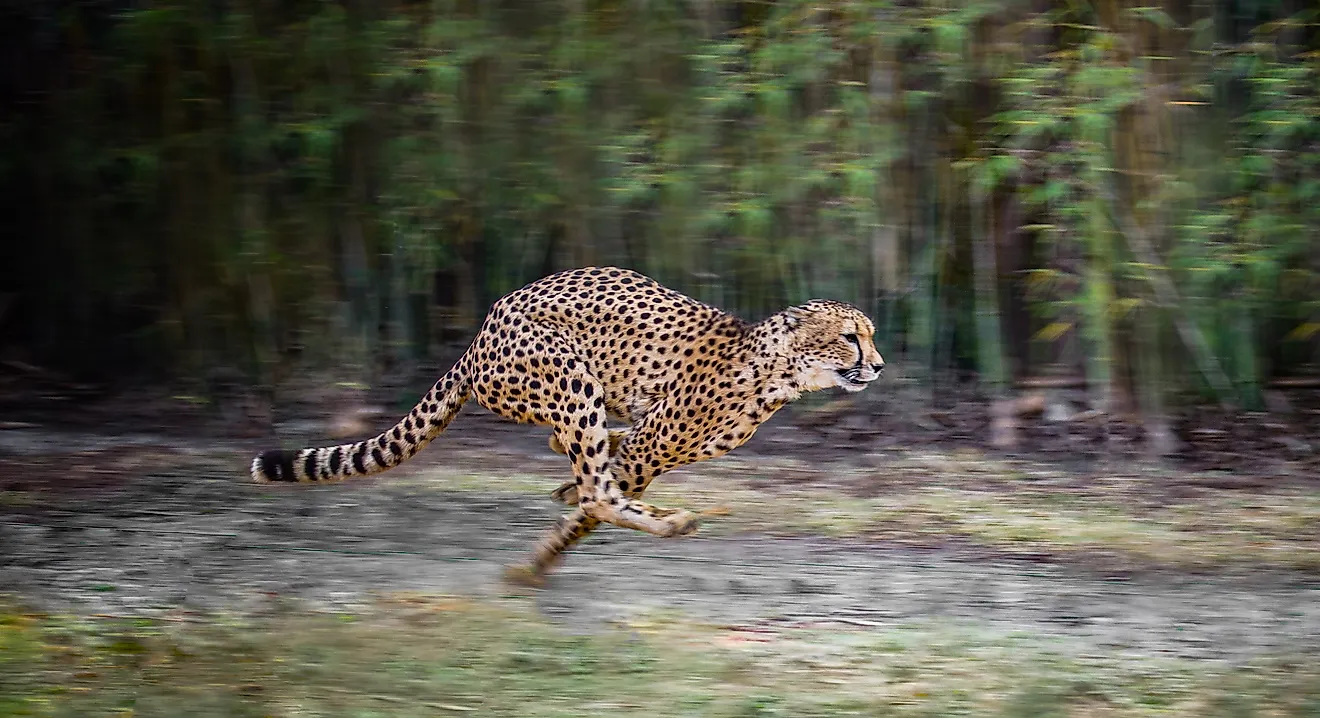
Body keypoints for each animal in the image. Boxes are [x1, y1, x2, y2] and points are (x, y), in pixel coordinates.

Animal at [250, 266, 881, 586]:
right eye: (851, 336)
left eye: (869, 336)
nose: (877, 365)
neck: (780, 371)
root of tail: (484, 327)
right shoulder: (650, 445)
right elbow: (595, 501)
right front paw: (540, 559)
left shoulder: (649, 448)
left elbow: (597, 480)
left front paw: (549, 533)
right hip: (571, 380)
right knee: (599, 487)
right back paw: (667, 520)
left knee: (588, 464)